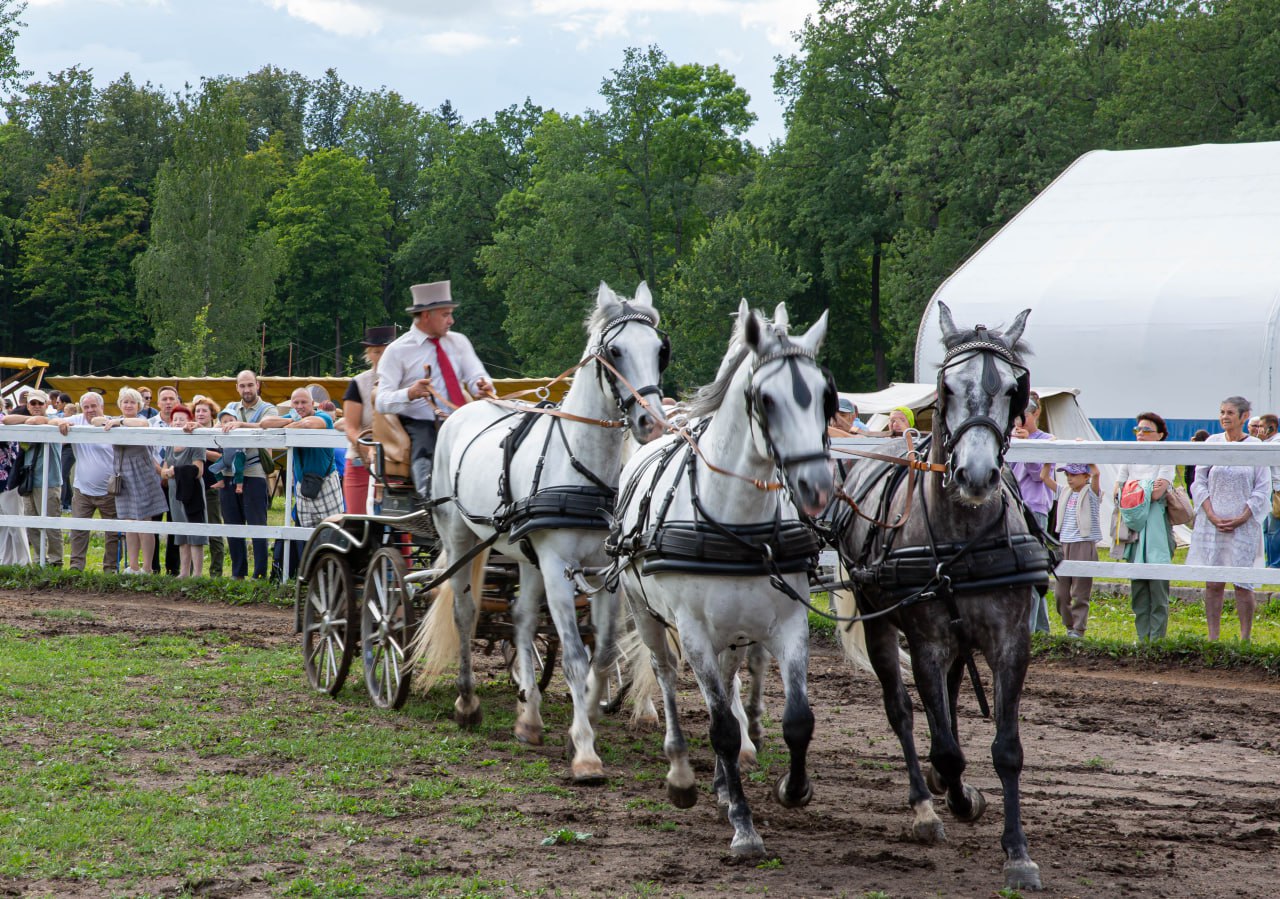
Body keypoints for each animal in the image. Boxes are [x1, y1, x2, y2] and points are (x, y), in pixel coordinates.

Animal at [409, 281, 670, 783]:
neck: (584, 470)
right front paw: (585, 752)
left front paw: (581, 723)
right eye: (615, 350)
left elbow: (603, 653)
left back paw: (528, 719)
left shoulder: (603, 572)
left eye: (659, 351)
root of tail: (461, 410)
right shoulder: (558, 566)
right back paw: (467, 703)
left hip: (526, 557)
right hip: (462, 540)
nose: (653, 423)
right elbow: (574, 654)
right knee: (465, 613)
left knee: (522, 620)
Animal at [611, 302, 834, 860]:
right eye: (766, 400)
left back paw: (718, 783)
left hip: (733, 633)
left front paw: (792, 789)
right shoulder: (691, 631)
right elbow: (723, 729)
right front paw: (744, 827)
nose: (816, 486)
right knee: (666, 675)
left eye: (826, 395)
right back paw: (683, 773)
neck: (739, 525)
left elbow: (797, 720)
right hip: (648, 616)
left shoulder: (789, 624)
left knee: (730, 679)